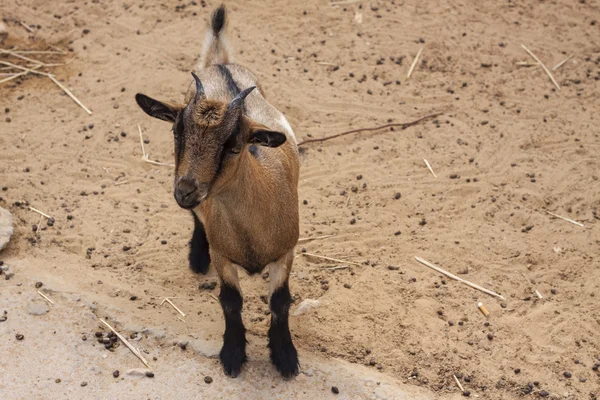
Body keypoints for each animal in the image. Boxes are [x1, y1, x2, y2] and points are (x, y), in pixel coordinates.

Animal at [133, 3, 298, 378]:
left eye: (234, 146)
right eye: (177, 132)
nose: (185, 190)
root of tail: (219, 65)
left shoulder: (286, 251)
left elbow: (280, 302)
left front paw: (285, 357)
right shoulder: (223, 254)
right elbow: (230, 302)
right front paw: (233, 354)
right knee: (197, 220)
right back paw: (197, 255)